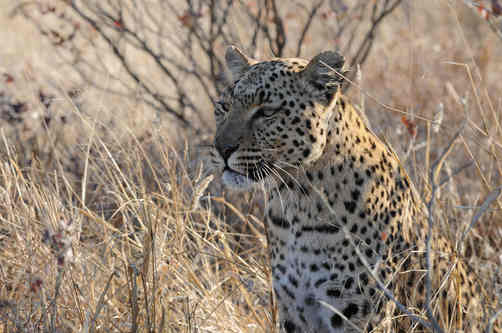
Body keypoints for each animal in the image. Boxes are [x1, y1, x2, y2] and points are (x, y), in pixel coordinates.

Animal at [208, 44, 498, 332]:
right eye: (223, 107)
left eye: (267, 112)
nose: (222, 148)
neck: (294, 202)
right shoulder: (295, 312)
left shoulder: (361, 315)